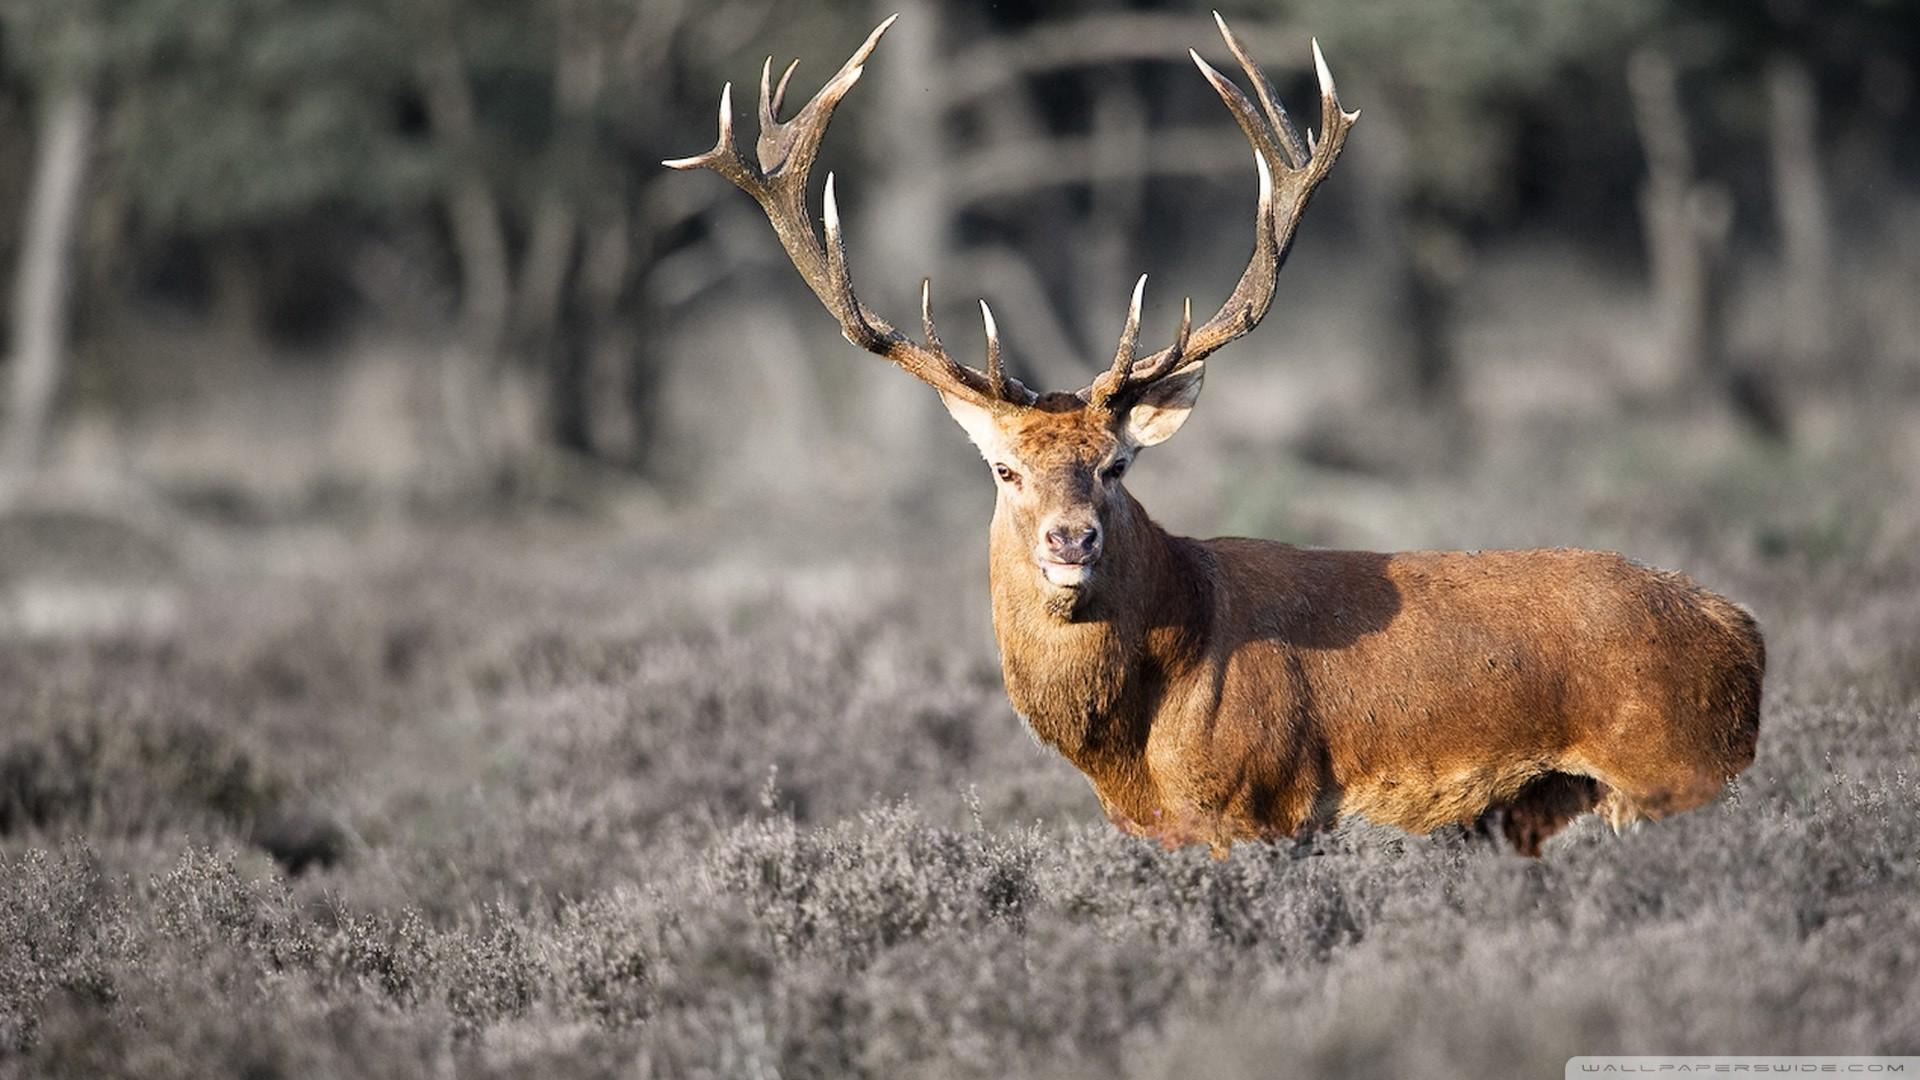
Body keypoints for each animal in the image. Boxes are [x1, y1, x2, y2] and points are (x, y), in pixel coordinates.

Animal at [664, 14, 1765, 857]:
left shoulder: (1259, 805)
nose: (1072, 539)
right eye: (1005, 469)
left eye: (1114, 466)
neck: (1134, 745)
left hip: (1673, 769)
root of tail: (1746, 637)